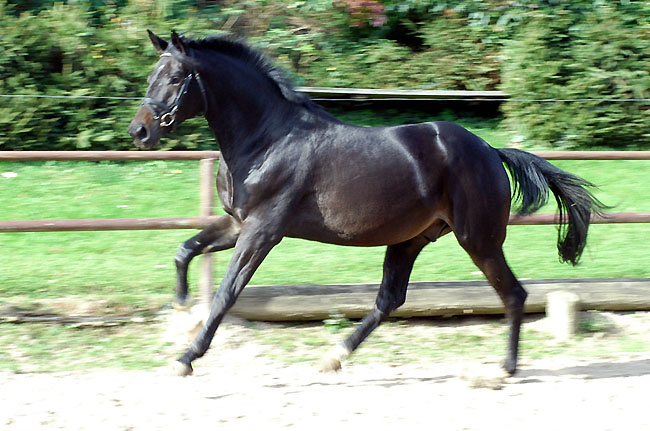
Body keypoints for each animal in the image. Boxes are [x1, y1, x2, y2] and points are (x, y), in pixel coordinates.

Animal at [130, 30, 604, 376]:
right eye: (153, 74)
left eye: (176, 77)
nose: (140, 131)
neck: (267, 139)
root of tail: (490, 150)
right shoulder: (236, 224)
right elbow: (185, 250)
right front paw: (181, 305)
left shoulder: (263, 231)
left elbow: (227, 293)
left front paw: (186, 357)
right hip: (411, 239)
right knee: (389, 301)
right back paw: (334, 356)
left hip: (478, 239)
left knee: (513, 294)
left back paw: (506, 368)